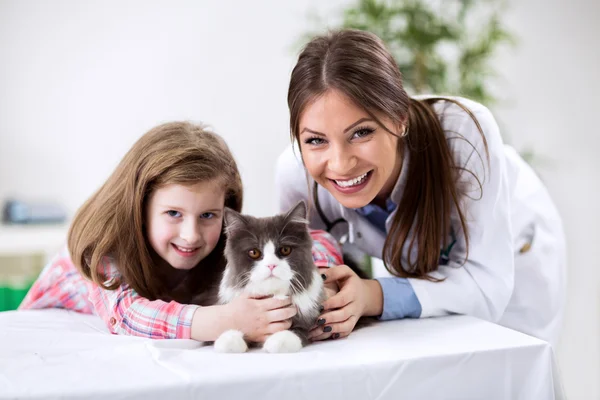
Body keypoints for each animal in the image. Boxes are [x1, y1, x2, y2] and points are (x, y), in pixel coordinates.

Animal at [214, 200, 326, 354]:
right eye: (254, 252)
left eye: (285, 250)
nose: (271, 265)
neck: (272, 294)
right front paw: (229, 340)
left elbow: (298, 330)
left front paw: (279, 340)